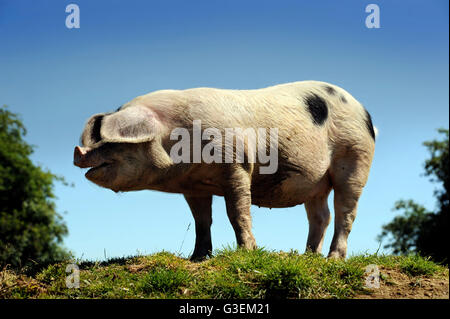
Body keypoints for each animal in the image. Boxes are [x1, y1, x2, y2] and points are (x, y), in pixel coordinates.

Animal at [74, 81, 376, 262]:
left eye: (113, 142)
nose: (78, 152)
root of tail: (365, 113)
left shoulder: (237, 164)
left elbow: (237, 213)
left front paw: (246, 251)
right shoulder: (193, 186)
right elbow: (201, 221)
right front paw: (197, 258)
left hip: (356, 158)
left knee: (346, 213)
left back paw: (333, 259)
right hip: (316, 183)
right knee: (321, 216)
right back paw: (308, 257)